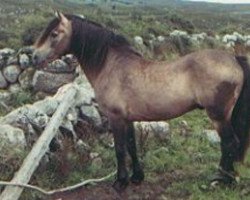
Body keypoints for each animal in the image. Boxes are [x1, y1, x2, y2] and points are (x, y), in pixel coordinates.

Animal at [32, 11, 249, 191]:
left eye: (54, 34)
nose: (34, 57)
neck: (111, 65)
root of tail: (235, 60)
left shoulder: (115, 118)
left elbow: (120, 149)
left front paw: (120, 182)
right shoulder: (128, 119)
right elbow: (132, 146)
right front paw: (137, 177)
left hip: (218, 116)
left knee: (229, 143)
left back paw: (222, 180)